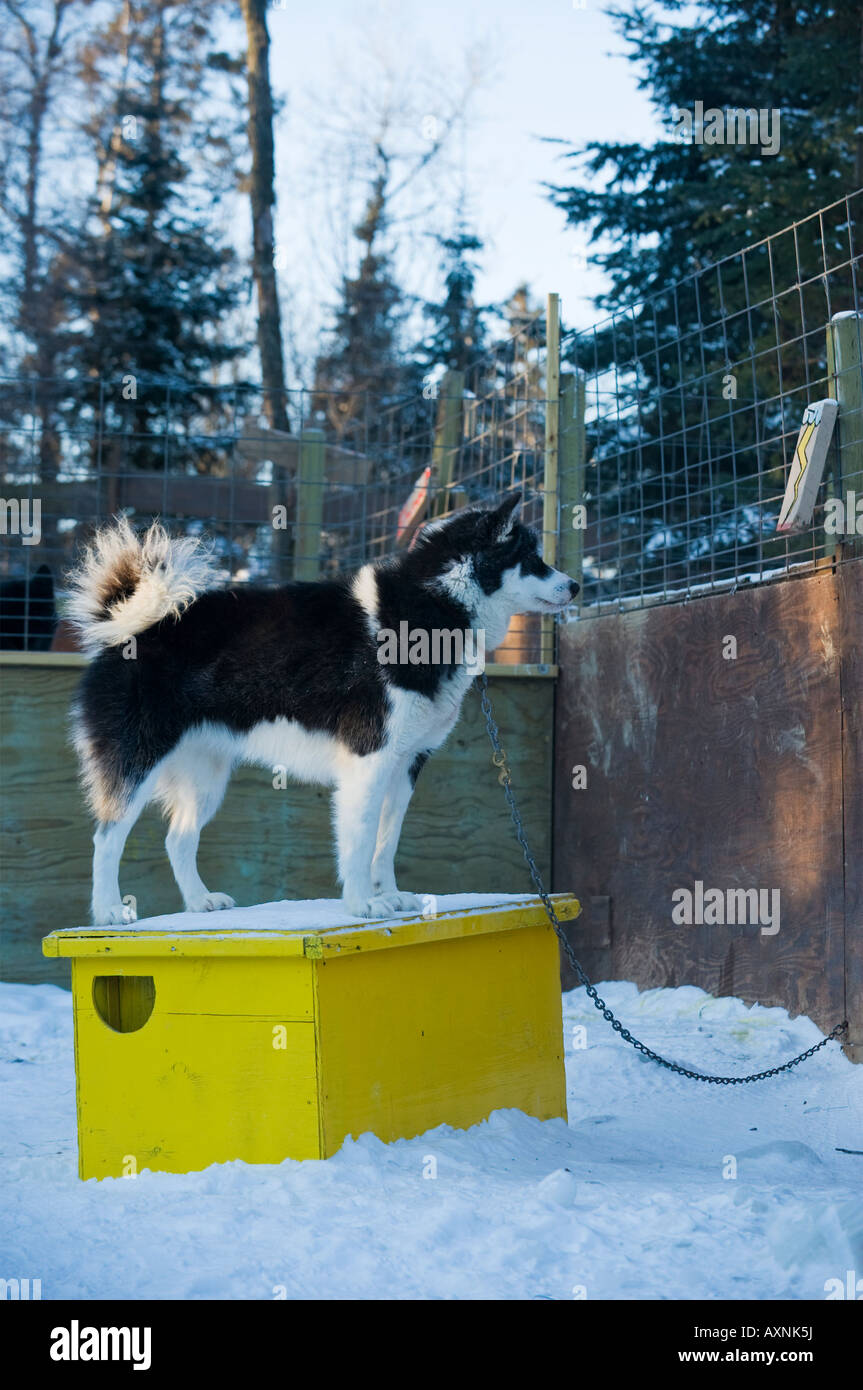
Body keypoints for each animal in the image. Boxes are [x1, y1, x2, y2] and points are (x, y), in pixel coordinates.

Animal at [67, 494, 575, 928]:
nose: (574, 585)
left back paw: (199, 902)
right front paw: (362, 904)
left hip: (207, 778)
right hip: (136, 763)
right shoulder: (369, 759)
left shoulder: (406, 764)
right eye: (532, 559)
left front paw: (390, 895)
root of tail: (139, 625)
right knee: (105, 839)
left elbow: (386, 841)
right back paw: (108, 911)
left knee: (178, 839)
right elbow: (360, 841)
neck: (436, 603)